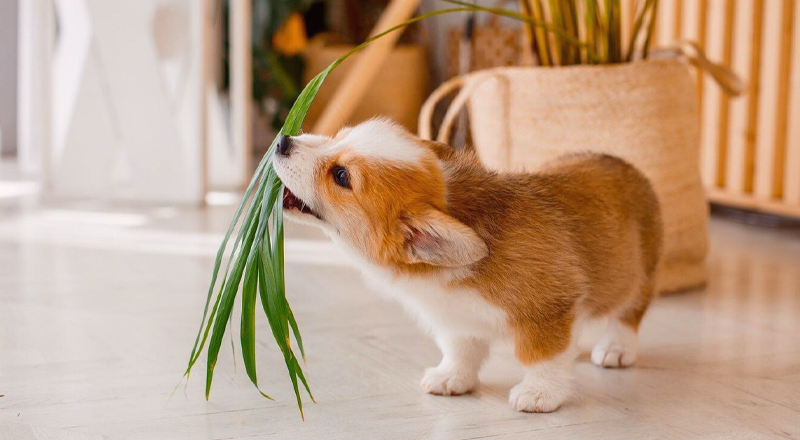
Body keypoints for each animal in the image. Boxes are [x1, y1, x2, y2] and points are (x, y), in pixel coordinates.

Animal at [276, 117, 664, 412]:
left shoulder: (548, 309)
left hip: (638, 277)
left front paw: (539, 393)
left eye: (341, 176)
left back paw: (616, 349)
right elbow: (460, 349)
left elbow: (541, 356)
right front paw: (452, 377)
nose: (282, 141)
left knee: (629, 313)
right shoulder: (456, 318)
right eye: (338, 135)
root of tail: (625, 164)